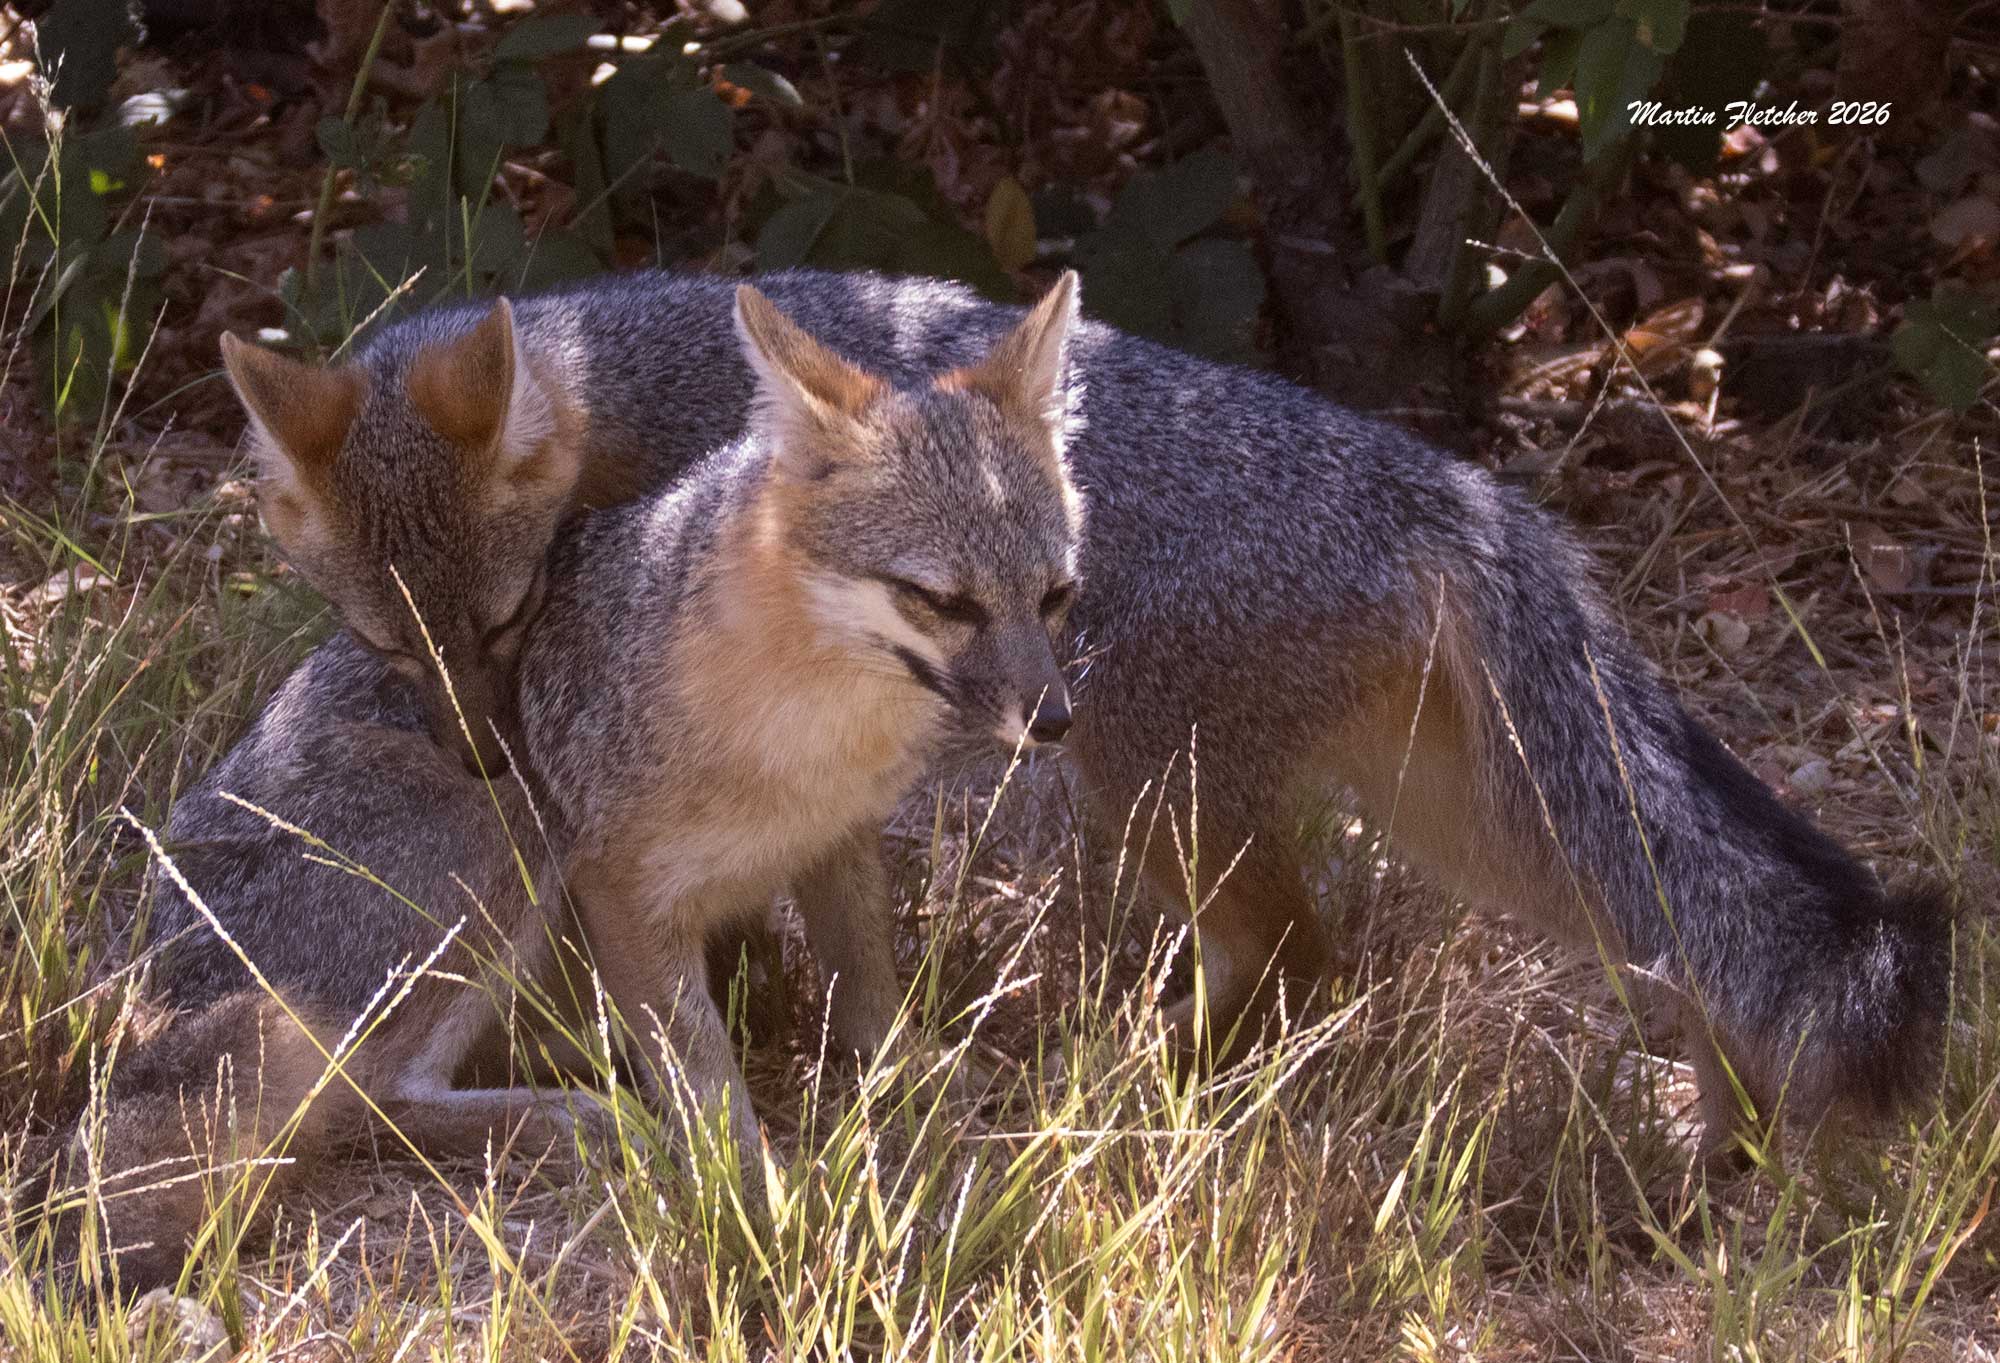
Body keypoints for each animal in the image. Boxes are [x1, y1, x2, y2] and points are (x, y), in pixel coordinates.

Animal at [64, 281, 1082, 1291]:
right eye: (942, 602)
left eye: (1056, 597)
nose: (1054, 721)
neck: (809, 727)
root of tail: (162, 959)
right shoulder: (615, 882)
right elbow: (707, 1082)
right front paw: (757, 1198)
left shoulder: (839, 835)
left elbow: (867, 987)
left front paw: (913, 1073)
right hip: (508, 834)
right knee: (367, 1099)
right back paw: (573, 1114)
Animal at [213, 266, 1951, 1161]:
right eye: (380, 638)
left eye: (509, 623)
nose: (487, 756)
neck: (614, 388)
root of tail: (1437, 484)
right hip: (1467, 813)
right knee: (1672, 947)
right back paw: (1724, 1147)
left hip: (1147, 781)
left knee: (1303, 952)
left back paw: (1143, 1091)